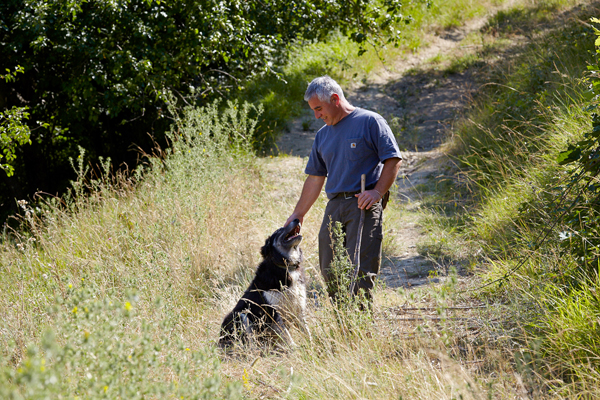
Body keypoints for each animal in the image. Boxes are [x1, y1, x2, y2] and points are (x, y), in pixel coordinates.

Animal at [217, 219, 310, 350]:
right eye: (279, 230)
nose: (296, 219)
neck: (286, 267)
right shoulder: (274, 314)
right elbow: (286, 336)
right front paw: (295, 349)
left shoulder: (299, 309)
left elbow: (306, 331)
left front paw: (312, 343)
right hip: (241, 315)